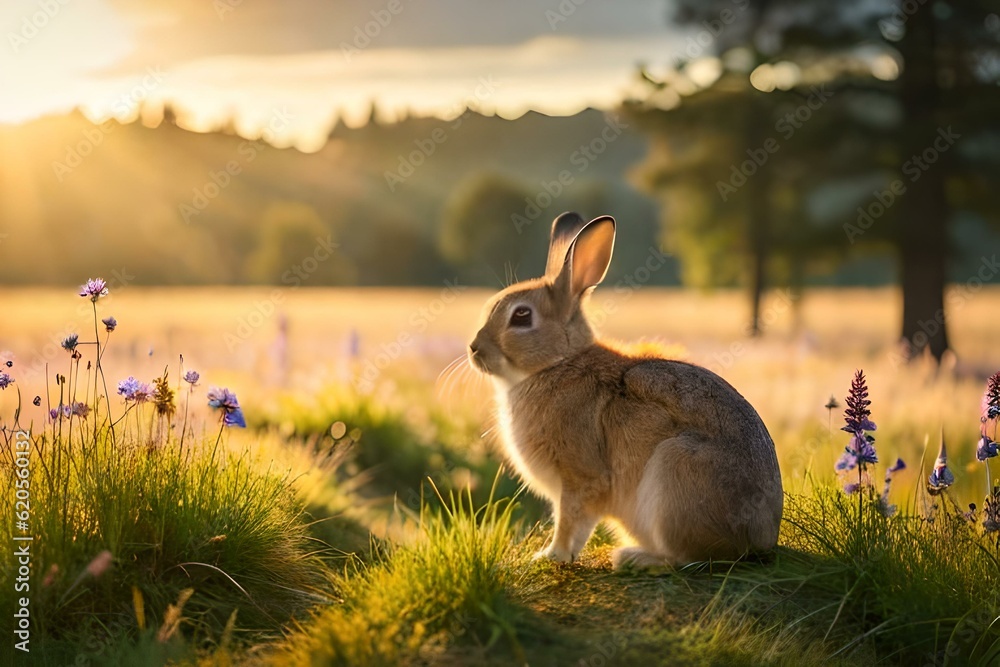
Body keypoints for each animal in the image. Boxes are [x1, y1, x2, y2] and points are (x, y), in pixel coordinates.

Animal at [468, 212, 783, 568]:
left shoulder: (581, 477)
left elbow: (568, 520)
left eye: (521, 316)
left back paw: (634, 558)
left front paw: (549, 556)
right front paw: (559, 556)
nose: (474, 349)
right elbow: (579, 527)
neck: (557, 362)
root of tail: (760, 538)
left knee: (689, 557)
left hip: (672, 475)